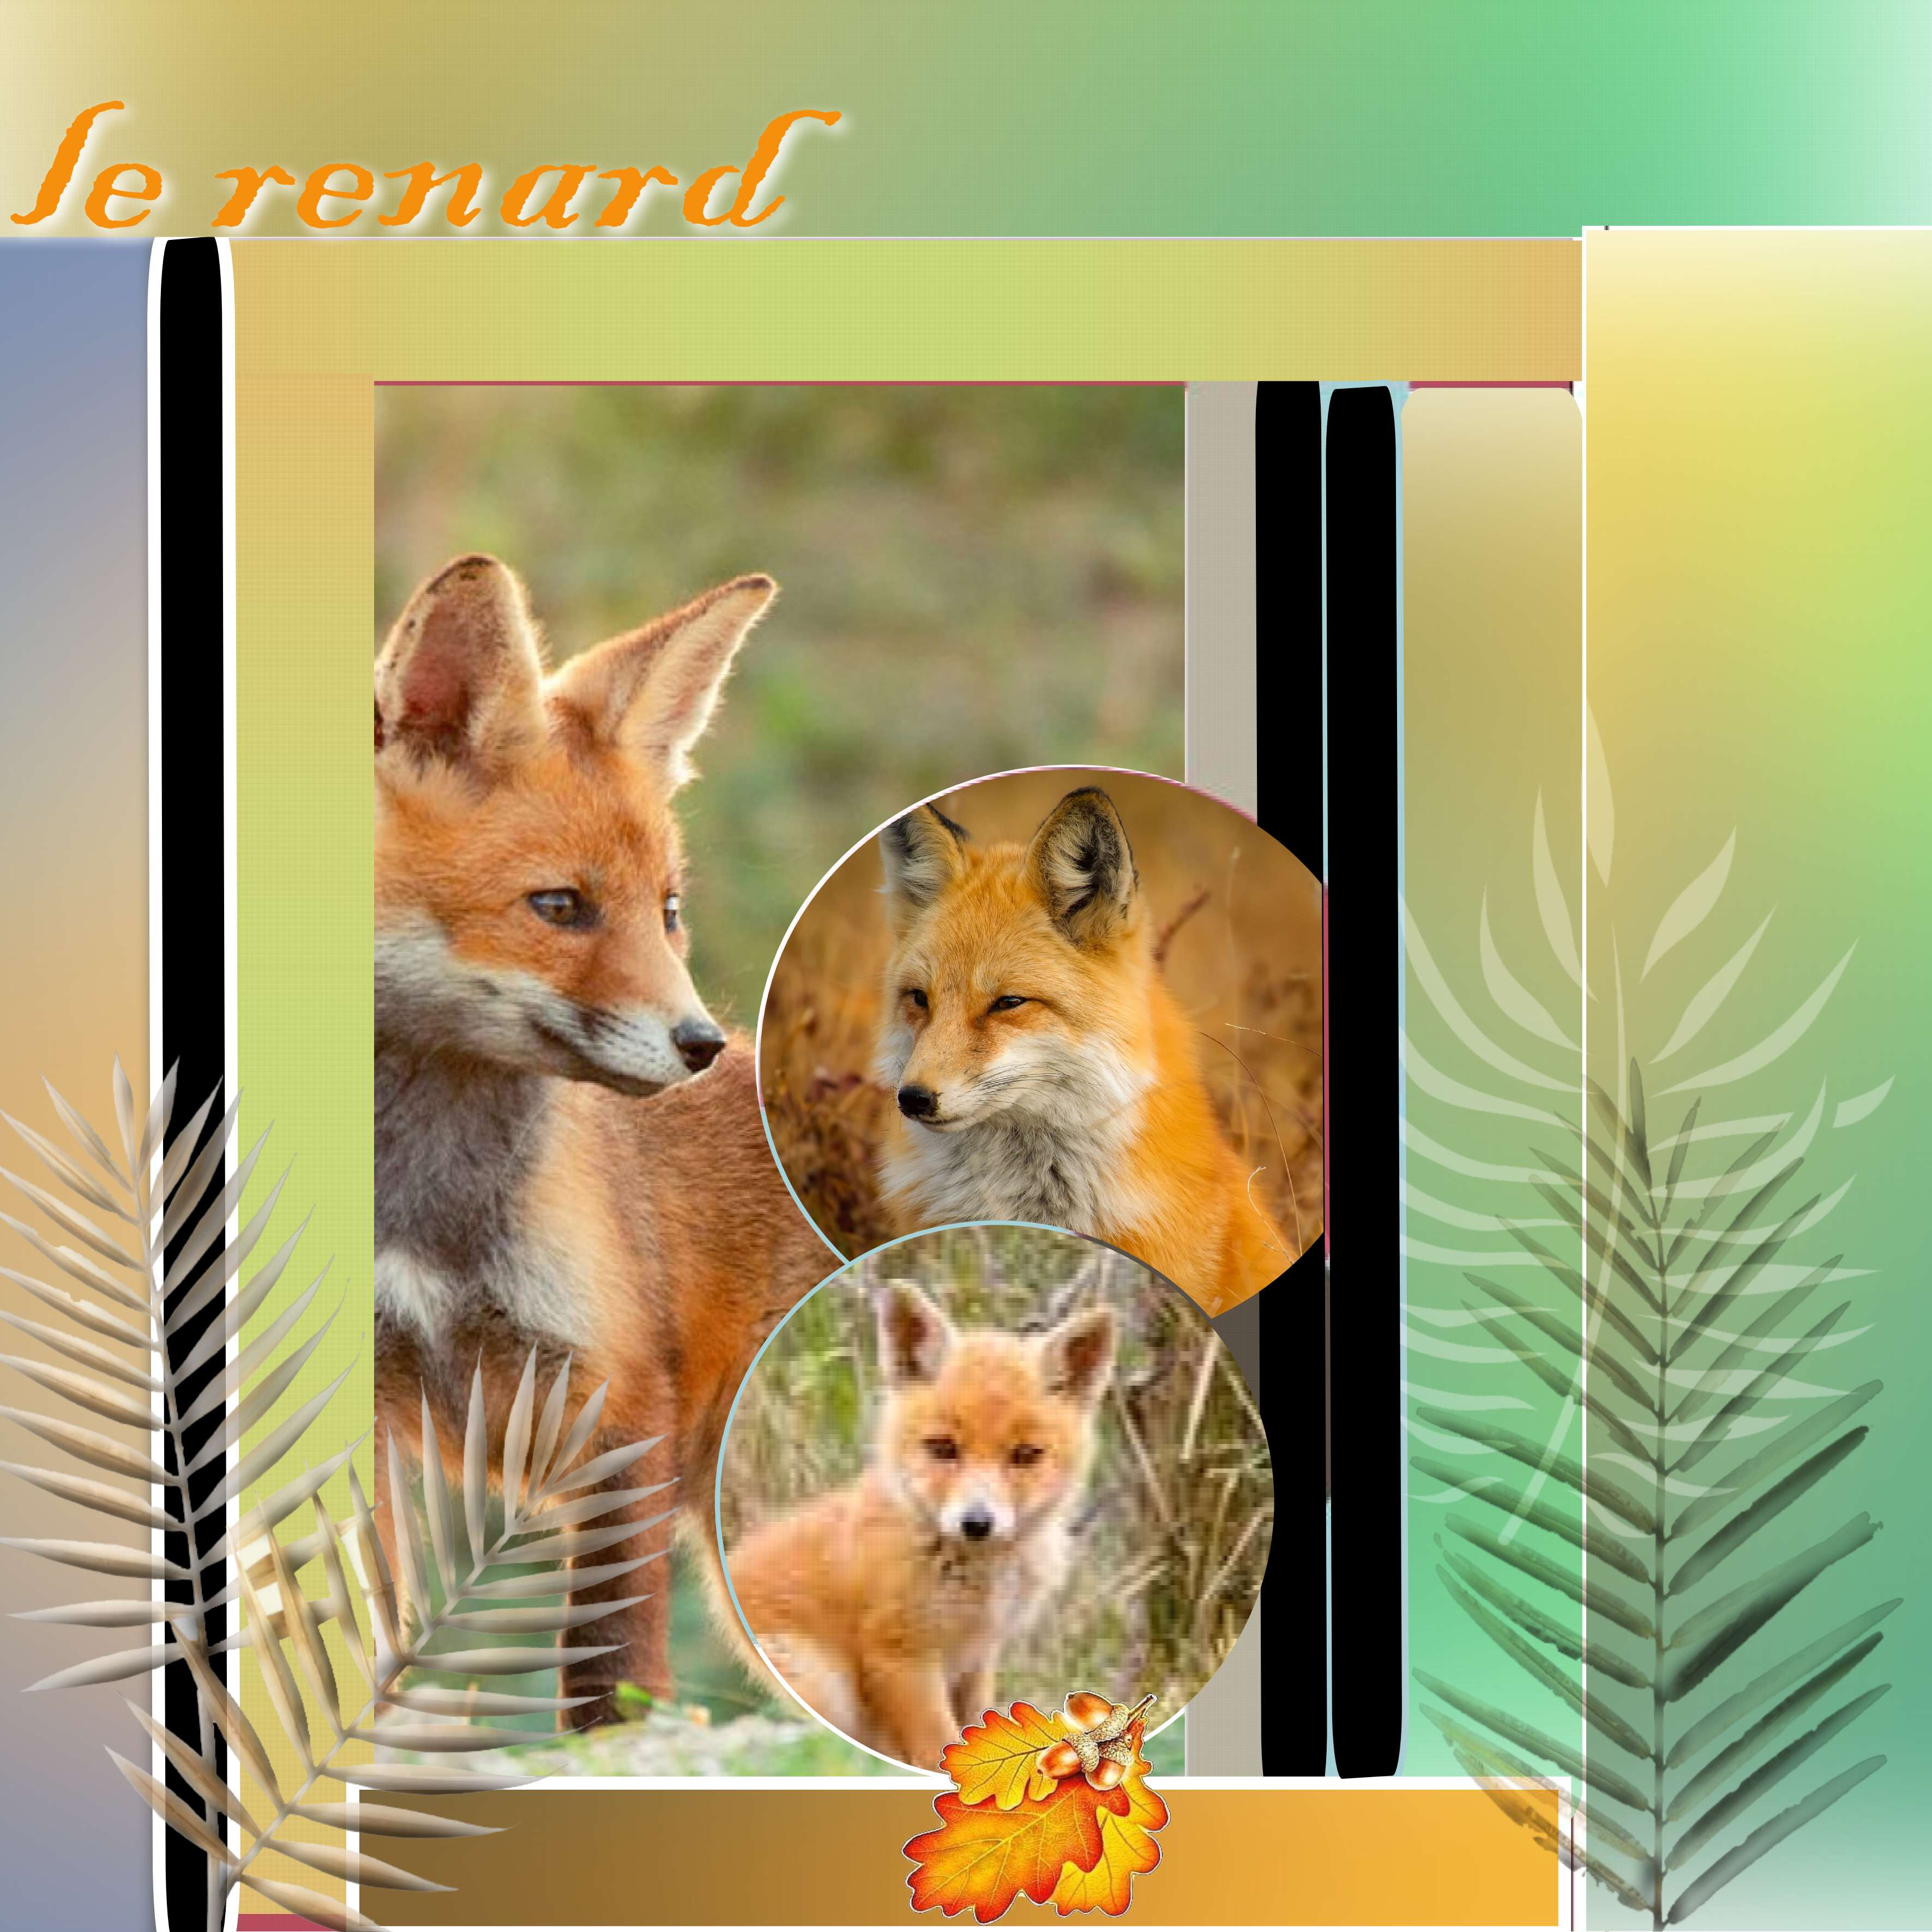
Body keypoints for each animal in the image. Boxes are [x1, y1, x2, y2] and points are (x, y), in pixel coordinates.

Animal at [372, 553, 829, 1728]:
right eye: (560, 906)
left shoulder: (617, 1395)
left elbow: (609, 1664)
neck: (427, 1214)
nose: (702, 1044)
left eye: (665, 909)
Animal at [725, 1279, 1115, 1770]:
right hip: (815, 1677)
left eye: (1026, 1455)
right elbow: (937, 1748)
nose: (976, 1522)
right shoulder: (899, 1656)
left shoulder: (976, 1658)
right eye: (943, 1447)